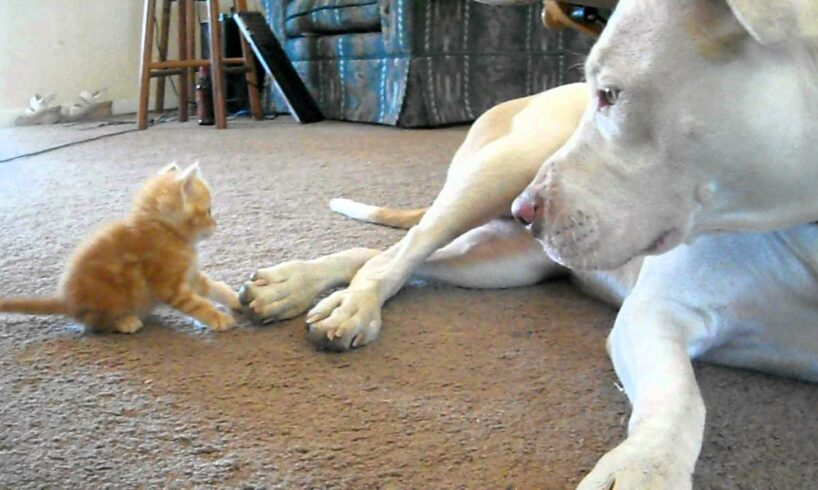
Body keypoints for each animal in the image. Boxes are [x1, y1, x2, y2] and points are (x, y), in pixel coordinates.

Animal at [0, 163, 241, 334]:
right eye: (208, 211)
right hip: (109, 298)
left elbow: (213, 287)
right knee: (94, 324)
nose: (216, 224)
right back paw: (125, 321)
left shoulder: (191, 275)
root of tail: (66, 301)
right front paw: (217, 318)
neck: (166, 231)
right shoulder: (169, 285)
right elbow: (197, 303)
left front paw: (234, 298)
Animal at [239, 1, 816, 488]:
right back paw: (341, 302)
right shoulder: (653, 315)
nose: (526, 211)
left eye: (610, 94)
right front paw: (645, 468)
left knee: (381, 256)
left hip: (503, 262)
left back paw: (305, 286)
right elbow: (682, 401)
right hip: (499, 173)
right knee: (398, 254)